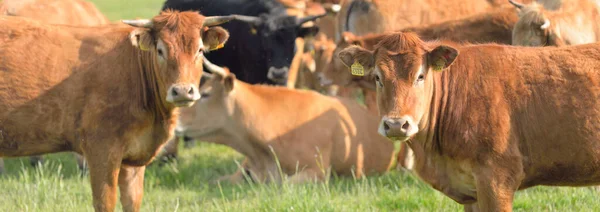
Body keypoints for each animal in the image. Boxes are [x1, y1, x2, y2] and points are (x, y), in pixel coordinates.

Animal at [0, 11, 233, 212]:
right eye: (160, 50)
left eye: (200, 50)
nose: (182, 91)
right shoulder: (101, 149)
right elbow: (105, 202)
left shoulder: (134, 156)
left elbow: (132, 200)